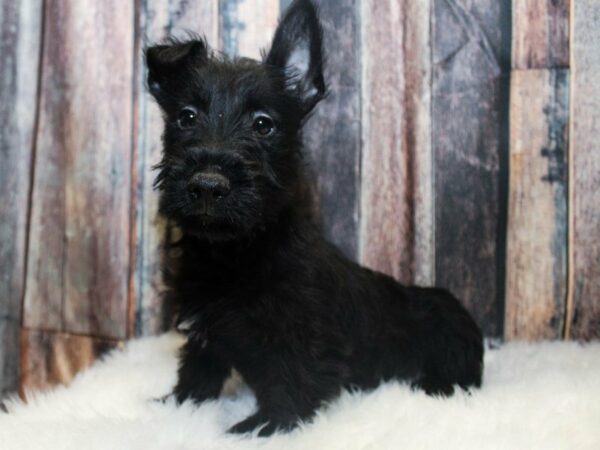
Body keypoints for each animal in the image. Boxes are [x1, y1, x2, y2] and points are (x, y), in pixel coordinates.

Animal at [145, 0, 482, 438]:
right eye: (185, 117)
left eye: (263, 124)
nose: (207, 185)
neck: (236, 253)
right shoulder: (206, 329)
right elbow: (198, 370)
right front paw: (175, 404)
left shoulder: (305, 336)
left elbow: (295, 379)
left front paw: (264, 425)